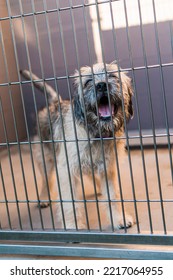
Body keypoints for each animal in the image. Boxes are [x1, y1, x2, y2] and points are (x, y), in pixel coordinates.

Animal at [20, 62, 134, 231]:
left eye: (112, 76)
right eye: (88, 82)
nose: (101, 85)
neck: (96, 132)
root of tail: (55, 102)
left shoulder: (108, 168)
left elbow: (113, 197)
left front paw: (119, 219)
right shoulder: (66, 171)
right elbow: (70, 203)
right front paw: (73, 226)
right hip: (45, 159)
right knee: (46, 181)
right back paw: (45, 197)